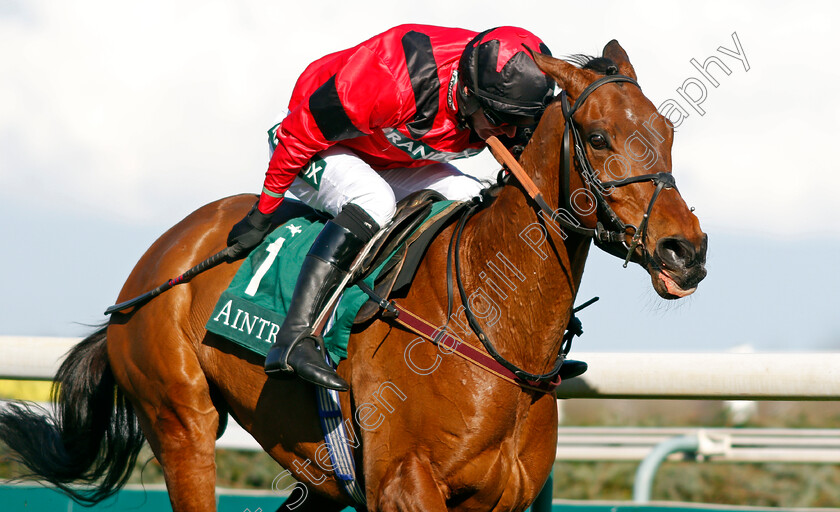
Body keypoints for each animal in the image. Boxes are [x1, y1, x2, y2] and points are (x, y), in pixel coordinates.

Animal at [0, 41, 708, 512]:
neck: (491, 325)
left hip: (315, 467)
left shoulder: (505, 495)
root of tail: (156, 263)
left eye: (667, 133)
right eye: (598, 136)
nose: (685, 250)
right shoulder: (404, 484)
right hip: (182, 421)